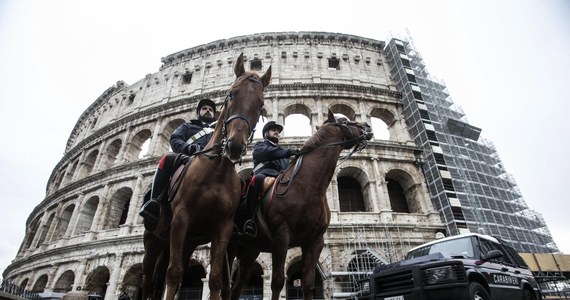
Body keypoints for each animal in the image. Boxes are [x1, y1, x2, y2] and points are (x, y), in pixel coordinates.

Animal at [139, 54, 270, 300]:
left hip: (186, 241)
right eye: (231, 94)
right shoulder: (181, 219)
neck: (215, 173)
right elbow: (174, 273)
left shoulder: (223, 228)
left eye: (260, 104)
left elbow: (216, 278)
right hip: (153, 239)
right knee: (149, 282)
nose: (235, 145)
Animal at [224, 109, 374, 298]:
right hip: (230, 245)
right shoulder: (281, 237)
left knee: (237, 286)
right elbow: (277, 282)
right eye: (344, 121)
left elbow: (308, 284)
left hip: (250, 250)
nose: (368, 127)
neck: (307, 187)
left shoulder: (315, 241)